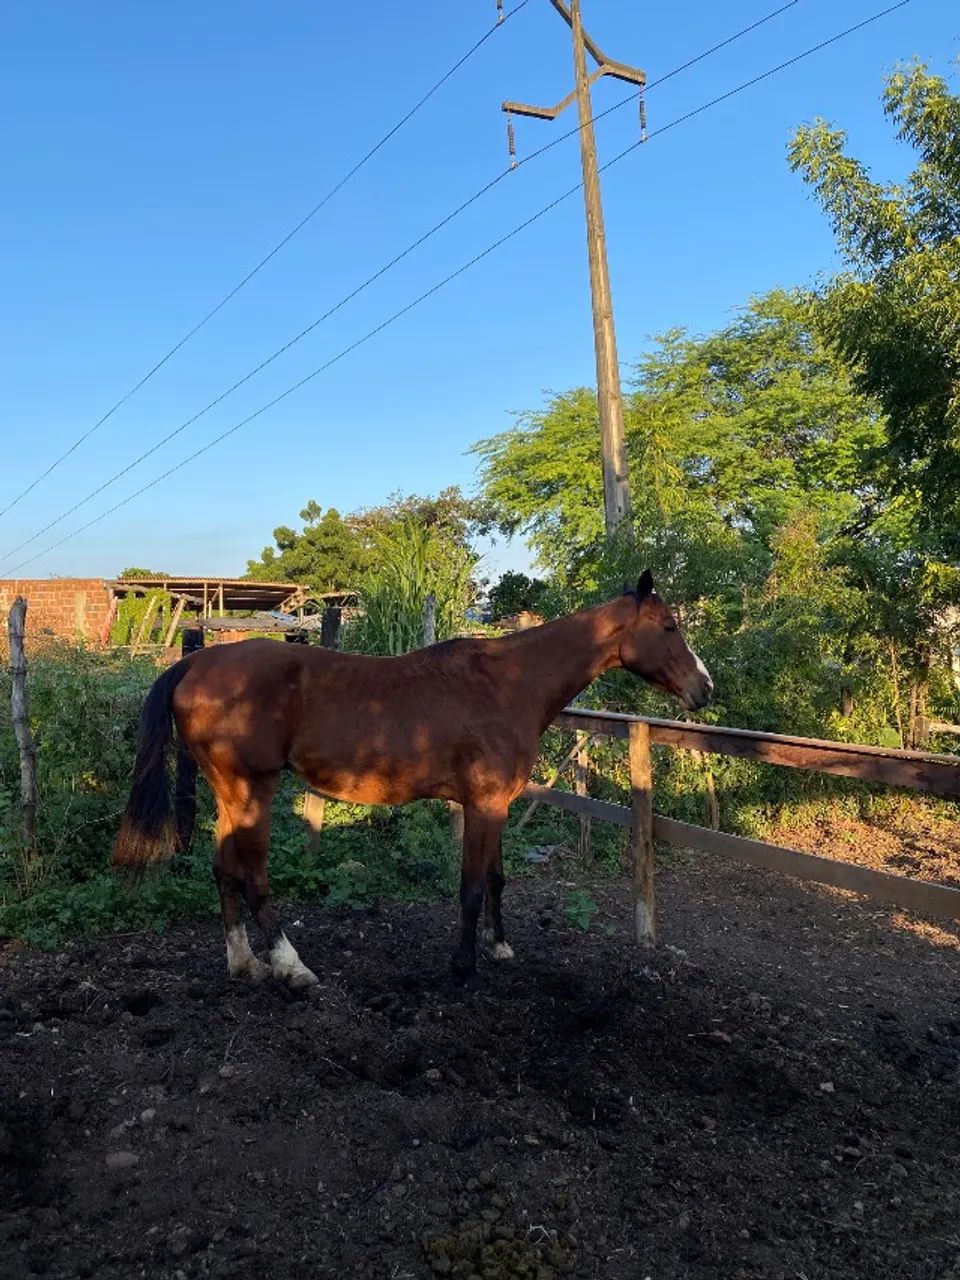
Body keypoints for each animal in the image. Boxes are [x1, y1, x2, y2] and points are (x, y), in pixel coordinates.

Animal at [114, 570, 712, 986]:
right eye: (669, 627)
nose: (704, 688)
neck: (509, 684)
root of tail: (195, 664)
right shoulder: (484, 804)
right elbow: (471, 886)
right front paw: (464, 965)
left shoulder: (495, 805)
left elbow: (496, 879)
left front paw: (499, 947)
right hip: (252, 790)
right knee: (254, 875)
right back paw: (290, 966)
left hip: (230, 794)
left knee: (224, 870)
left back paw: (245, 965)